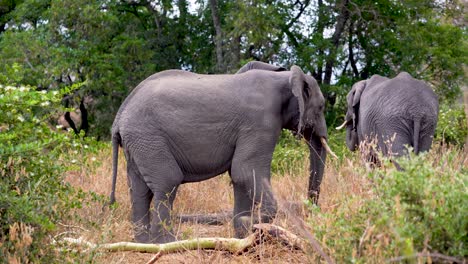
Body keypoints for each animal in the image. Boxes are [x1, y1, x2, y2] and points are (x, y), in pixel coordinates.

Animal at [109, 62, 334, 243]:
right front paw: (247, 224)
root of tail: (119, 116)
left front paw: (243, 234)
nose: (311, 210)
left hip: (138, 143)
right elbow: (246, 170)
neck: (283, 77)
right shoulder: (260, 122)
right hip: (148, 138)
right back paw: (166, 242)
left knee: (139, 190)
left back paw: (143, 243)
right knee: (167, 181)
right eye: (321, 107)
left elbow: (239, 176)